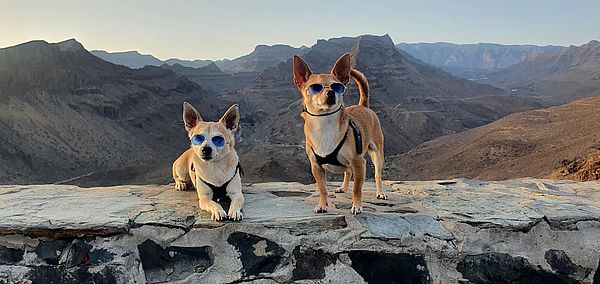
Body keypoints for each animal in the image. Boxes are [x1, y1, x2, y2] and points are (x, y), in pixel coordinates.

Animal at [292, 53, 386, 214]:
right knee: (348, 171)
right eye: (315, 88)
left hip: (377, 154)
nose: (331, 92)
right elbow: (322, 188)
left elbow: (357, 188)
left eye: (337, 87)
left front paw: (357, 206)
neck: (325, 124)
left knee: (377, 174)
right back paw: (342, 187)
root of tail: (363, 106)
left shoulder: (359, 163)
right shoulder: (316, 167)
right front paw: (322, 205)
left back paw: (380, 192)